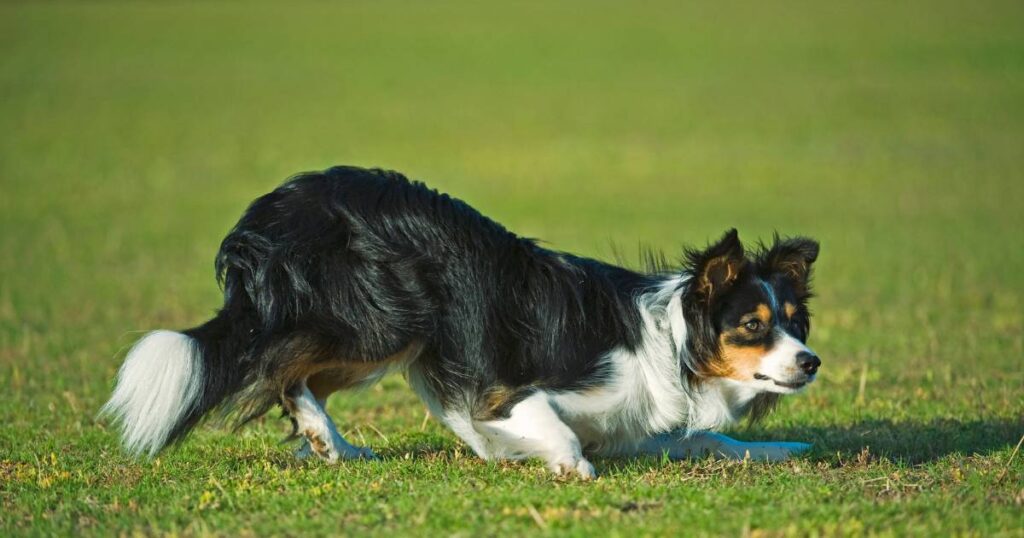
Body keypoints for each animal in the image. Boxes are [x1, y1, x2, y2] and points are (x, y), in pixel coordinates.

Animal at [101, 166, 823, 475]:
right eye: (753, 324)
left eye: (797, 324)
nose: (812, 363)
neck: (675, 340)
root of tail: (276, 206)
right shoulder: (505, 391)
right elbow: (557, 431)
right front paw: (563, 468)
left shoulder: (633, 423)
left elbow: (715, 439)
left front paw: (784, 449)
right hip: (386, 322)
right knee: (278, 367)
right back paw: (326, 439)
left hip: (393, 334)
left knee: (294, 375)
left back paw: (335, 446)